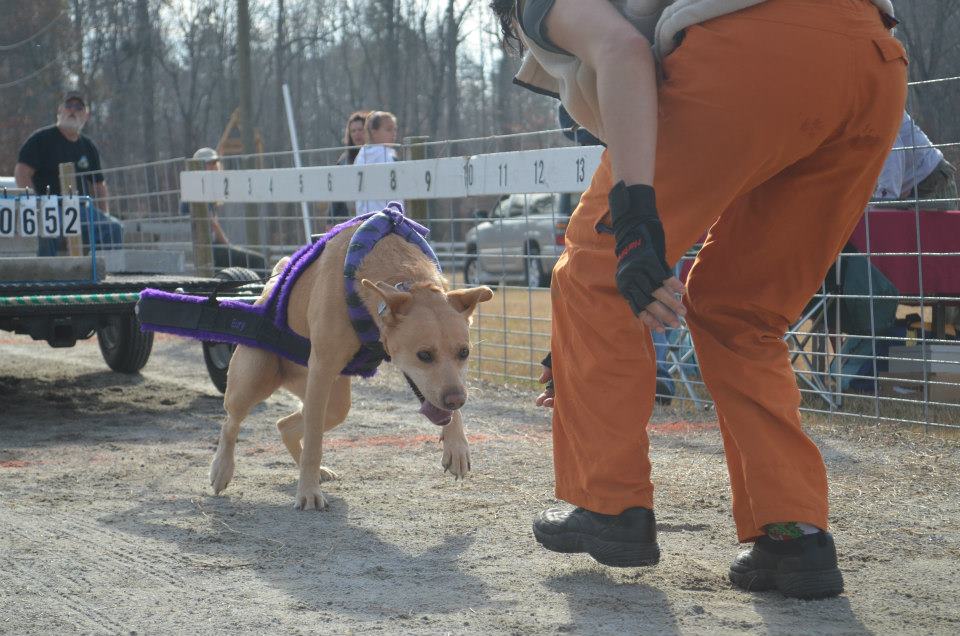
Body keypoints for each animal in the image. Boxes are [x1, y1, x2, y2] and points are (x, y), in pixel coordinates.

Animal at [211, 226, 496, 510]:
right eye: (424, 355)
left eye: (464, 352)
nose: (456, 401)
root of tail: (267, 290)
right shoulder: (321, 372)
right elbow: (314, 444)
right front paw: (308, 491)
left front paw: (457, 446)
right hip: (253, 382)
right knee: (231, 423)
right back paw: (221, 469)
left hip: (334, 404)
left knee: (284, 425)